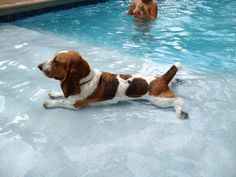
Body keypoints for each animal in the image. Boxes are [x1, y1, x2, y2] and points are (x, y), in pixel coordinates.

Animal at [39, 50, 190, 119]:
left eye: (56, 62)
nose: (39, 66)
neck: (86, 79)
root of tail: (161, 79)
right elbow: (63, 95)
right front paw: (54, 93)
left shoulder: (73, 104)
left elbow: (62, 101)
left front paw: (49, 103)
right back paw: (176, 80)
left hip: (159, 100)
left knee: (178, 100)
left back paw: (180, 111)